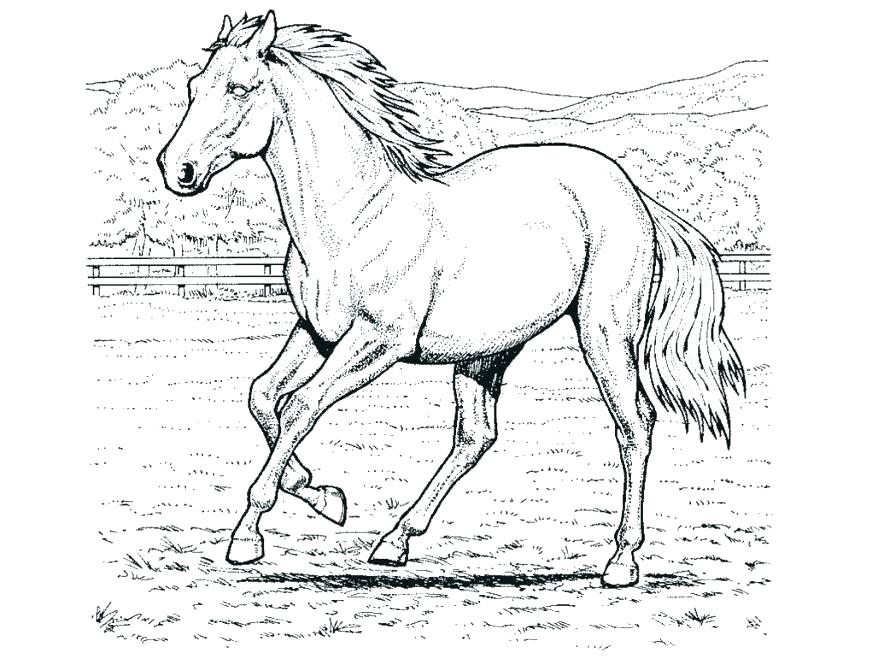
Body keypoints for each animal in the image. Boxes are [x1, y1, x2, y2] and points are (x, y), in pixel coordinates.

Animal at [157, 11, 744, 588]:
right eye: (193, 86)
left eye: (239, 87)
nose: (175, 169)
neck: (355, 217)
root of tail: (633, 192)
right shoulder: (317, 333)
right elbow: (262, 397)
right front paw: (324, 497)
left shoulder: (377, 343)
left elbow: (300, 406)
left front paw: (248, 537)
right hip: (486, 352)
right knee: (476, 436)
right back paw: (394, 542)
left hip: (604, 332)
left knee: (634, 426)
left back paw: (621, 561)